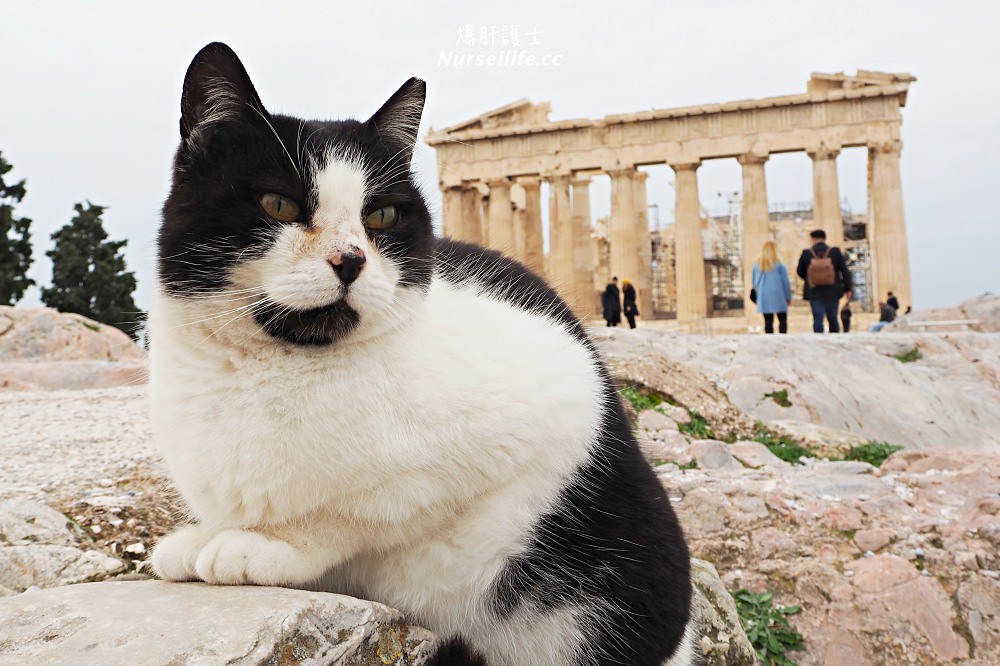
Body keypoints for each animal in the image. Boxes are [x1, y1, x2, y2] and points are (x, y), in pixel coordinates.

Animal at [150, 42, 696, 664]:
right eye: (277, 204)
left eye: (381, 216)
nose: (350, 261)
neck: (268, 367)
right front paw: (201, 536)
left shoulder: (554, 400)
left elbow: (368, 509)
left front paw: (262, 544)